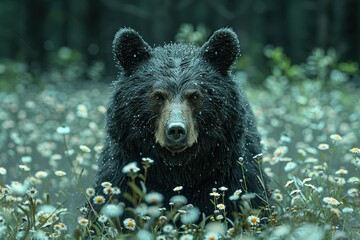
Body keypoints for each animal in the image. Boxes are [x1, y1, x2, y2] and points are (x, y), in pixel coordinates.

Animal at [91, 27, 268, 217]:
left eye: (195, 95)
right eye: (158, 96)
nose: (176, 130)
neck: (178, 171)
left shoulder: (231, 175)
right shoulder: (123, 175)